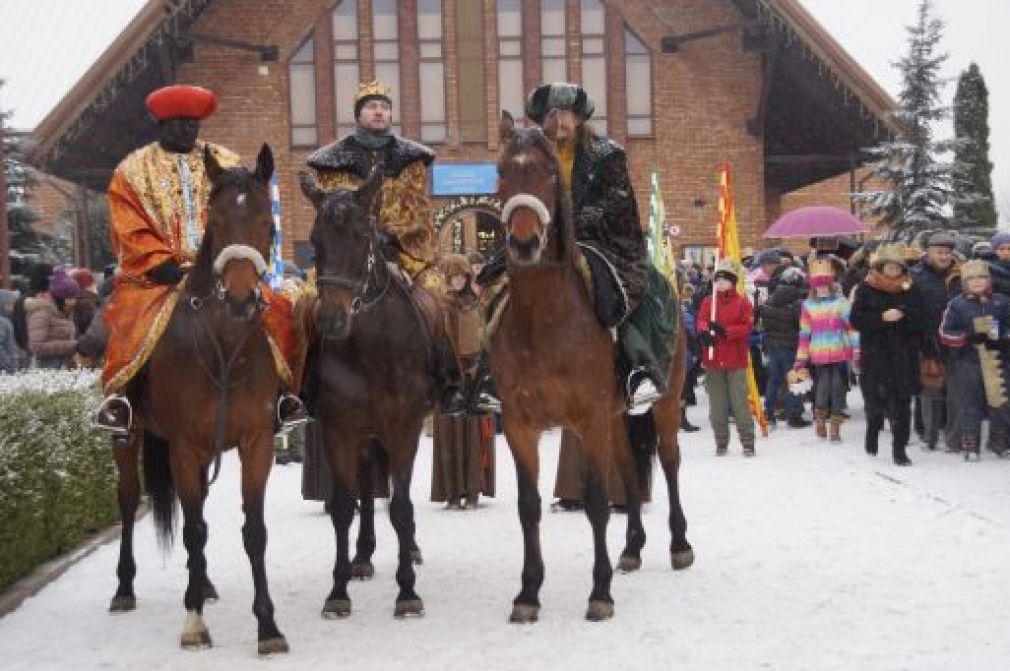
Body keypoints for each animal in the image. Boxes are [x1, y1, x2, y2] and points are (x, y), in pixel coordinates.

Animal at [111, 144, 292, 650]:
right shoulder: (184, 447)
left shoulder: (256, 443)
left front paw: (267, 625)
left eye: (265, 221)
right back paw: (125, 587)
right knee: (129, 501)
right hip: (128, 436)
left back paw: (205, 583)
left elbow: (253, 531)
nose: (240, 299)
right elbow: (192, 530)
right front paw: (193, 620)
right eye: (218, 217)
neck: (223, 346)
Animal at [294, 167, 430, 618]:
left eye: (359, 235)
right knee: (369, 492)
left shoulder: (405, 428)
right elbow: (343, 507)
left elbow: (402, 507)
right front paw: (338, 591)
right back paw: (363, 556)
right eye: (314, 240)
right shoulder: (340, 430)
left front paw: (407, 592)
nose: (331, 319)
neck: (371, 349)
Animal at [490, 111, 694, 622]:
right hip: (616, 418)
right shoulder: (521, 426)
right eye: (501, 172)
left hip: (665, 403)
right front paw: (528, 592)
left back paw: (679, 544)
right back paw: (633, 548)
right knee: (629, 468)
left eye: (547, 174)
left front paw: (600, 592)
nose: (524, 243)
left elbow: (599, 503)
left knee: (669, 462)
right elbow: (528, 506)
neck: (544, 320)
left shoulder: (588, 419)